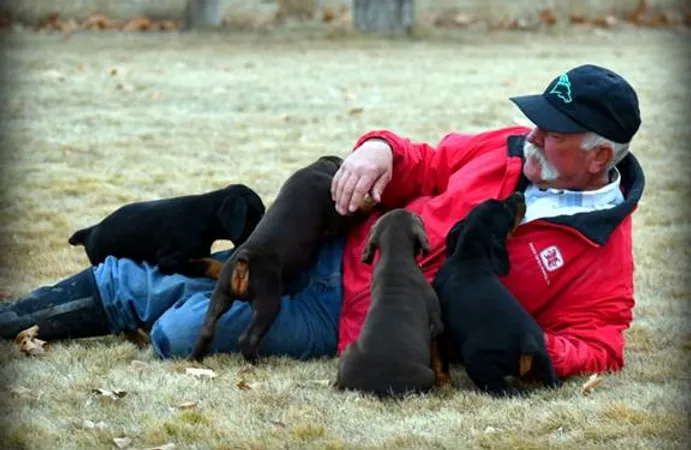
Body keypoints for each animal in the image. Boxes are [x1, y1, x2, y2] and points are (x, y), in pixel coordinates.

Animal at [189, 156, 374, 364]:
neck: (315, 169)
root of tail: (245, 260)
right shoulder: (338, 218)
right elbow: (357, 215)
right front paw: (371, 204)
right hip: (268, 302)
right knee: (248, 338)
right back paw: (258, 361)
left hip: (221, 294)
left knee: (207, 329)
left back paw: (194, 357)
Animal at [436, 192, 560, 396]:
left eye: (505, 208)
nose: (519, 194)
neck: (468, 256)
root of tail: (526, 341)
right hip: (544, 360)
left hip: (477, 361)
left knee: (500, 388)